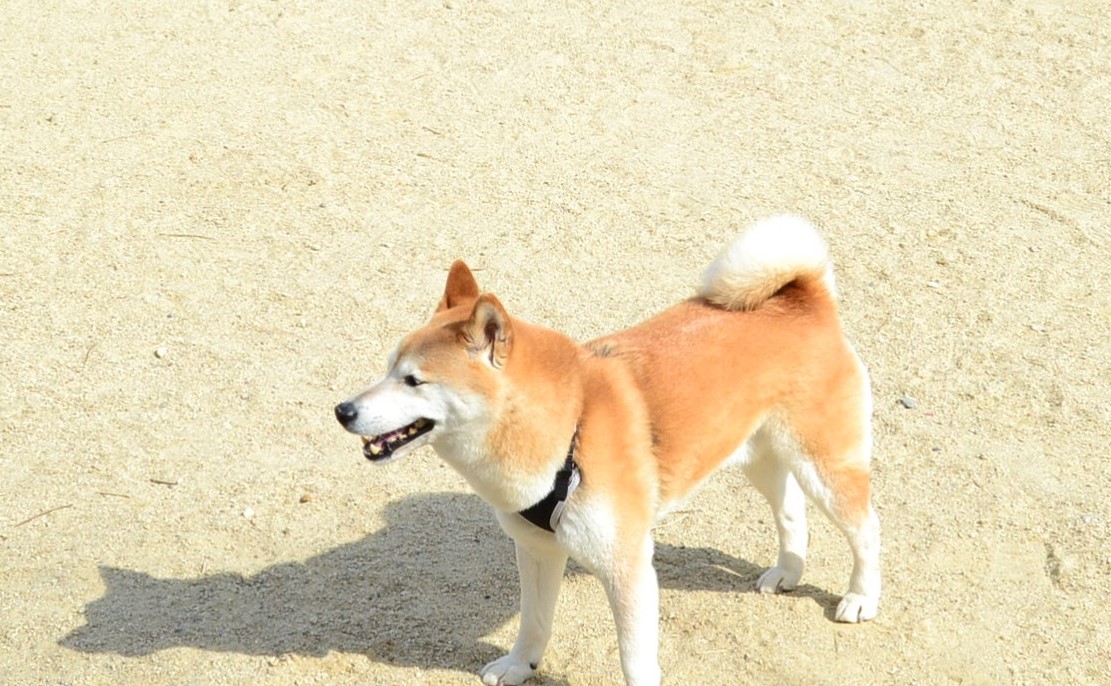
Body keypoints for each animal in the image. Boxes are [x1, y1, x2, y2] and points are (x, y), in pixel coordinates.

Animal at [333, 215, 879, 684]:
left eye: (414, 381)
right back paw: (788, 571)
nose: (343, 410)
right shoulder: (536, 550)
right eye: (388, 367)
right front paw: (519, 666)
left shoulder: (627, 567)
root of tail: (804, 299)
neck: (568, 431)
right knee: (790, 510)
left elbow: (635, 661)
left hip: (825, 465)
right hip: (756, 454)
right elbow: (533, 623)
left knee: (865, 528)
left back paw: (860, 597)